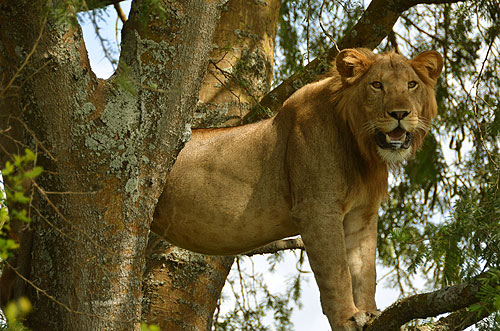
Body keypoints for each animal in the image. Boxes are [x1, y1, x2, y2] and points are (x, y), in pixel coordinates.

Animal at [151, 49, 442, 331]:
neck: (362, 148)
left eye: (412, 84)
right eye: (377, 85)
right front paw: (348, 319)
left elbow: (364, 270)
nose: (400, 114)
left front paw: (370, 313)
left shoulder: (363, 213)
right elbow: (336, 272)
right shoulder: (317, 209)